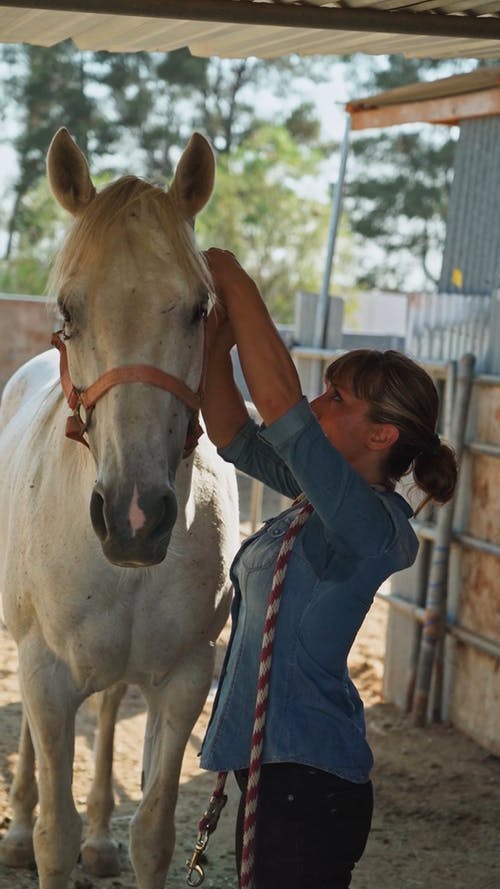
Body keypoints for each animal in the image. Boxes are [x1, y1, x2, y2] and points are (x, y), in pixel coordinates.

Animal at [0, 126, 240, 888]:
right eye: (67, 311)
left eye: (199, 308)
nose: (135, 517)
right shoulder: (46, 675)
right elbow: (55, 832)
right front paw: (34, 830)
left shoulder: (185, 678)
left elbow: (156, 835)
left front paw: (112, 836)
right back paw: (15, 827)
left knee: (107, 706)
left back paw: (101, 836)